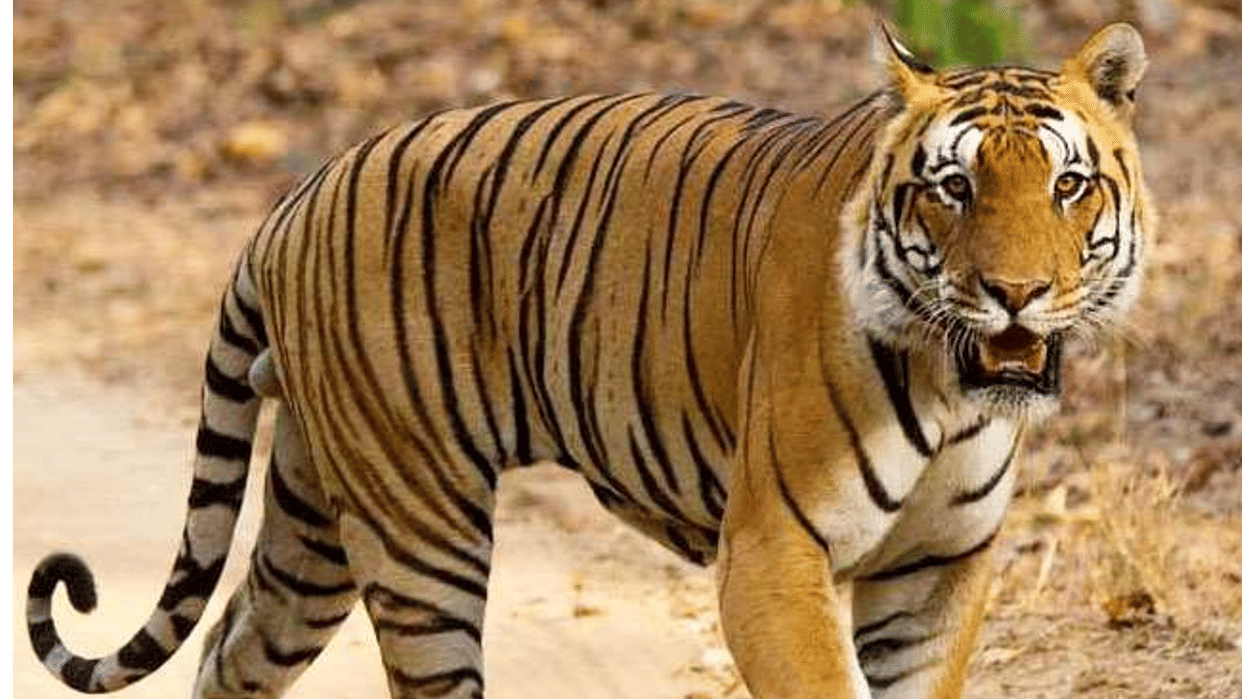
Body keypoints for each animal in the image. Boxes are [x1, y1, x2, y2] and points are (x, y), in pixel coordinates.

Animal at [26, 22, 1150, 699]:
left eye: (1066, 185)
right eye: (954, 188)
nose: (1015, 293)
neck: (954, 389)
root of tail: (297, 198)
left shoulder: (938, 568)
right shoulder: (773, 553)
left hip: (314, 518)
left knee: (233, 647)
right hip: (418, 527)